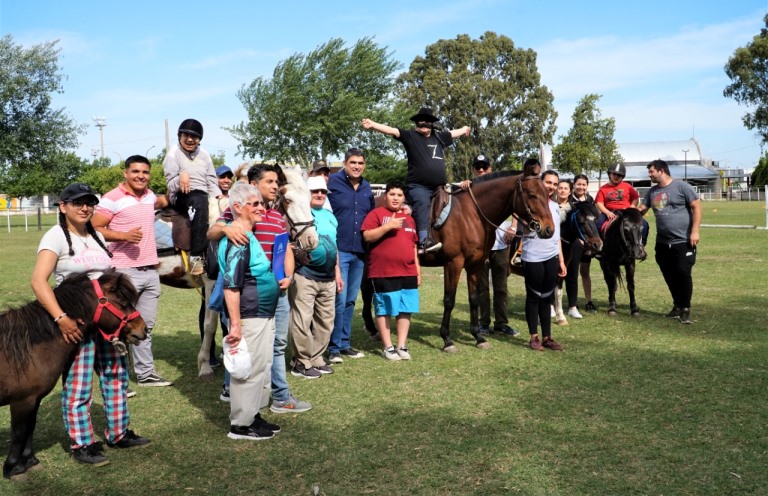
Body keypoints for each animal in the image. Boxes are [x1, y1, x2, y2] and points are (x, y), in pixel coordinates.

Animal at [0, 274, 146, 478]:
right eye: (123, 302)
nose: (144, 329)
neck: (28, 347)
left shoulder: (34, 399)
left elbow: (30, 428)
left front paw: (30, 461)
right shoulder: (22, 401)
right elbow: (19, 432)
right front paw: (13, 468)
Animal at [154, 165, 316, 378]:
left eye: (308, 197)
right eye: (288, 200)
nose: (312, 239)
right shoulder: (212, 284)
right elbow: (210, 325)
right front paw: (204, 365)